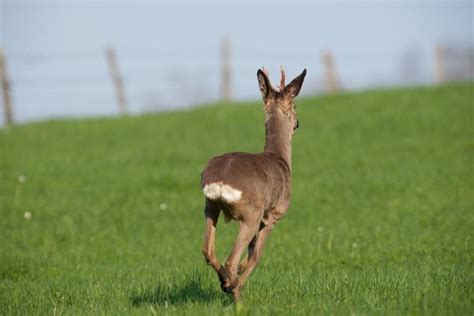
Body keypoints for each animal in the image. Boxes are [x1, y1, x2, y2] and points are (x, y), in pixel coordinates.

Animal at [200, 67, 308, 302]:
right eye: (295, 105)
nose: (297, 123)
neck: (279, 157)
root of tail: (220, 180)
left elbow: (250, 251)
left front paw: (234, 277)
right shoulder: (273, 215)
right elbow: (256, 255)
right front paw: (238, 280)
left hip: (210, 206)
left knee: (208, 250)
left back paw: (225, 281)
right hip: (251, 213)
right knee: (230, 259)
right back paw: (235, 292)